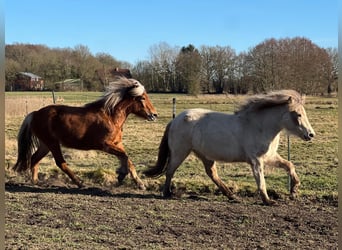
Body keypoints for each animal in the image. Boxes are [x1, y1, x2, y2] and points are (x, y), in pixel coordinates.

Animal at [12, 76, 158, 189]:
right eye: (142, 98)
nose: (154, 115)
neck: (111, 117)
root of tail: (35, 113)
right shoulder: (105, 145)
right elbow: (125, 156)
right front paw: (122, 174)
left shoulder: (117, 143)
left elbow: (127, 159)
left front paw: (138, 183)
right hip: (52, 143)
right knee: (60, 162)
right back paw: (80, 182)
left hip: (45, 145)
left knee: (34, 159)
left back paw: (36, 181)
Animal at [144, 90, 316, 205]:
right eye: (298, 114)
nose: (311, 134)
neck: (260, 126)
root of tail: (175, 120)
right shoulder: (256, 161)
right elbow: (261, 180)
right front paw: (268, 200)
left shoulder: (270, 157)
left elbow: (289, 166)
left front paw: (294, 191)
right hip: (180, 152)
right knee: (170, 170)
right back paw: (167, 193)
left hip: (205, 155)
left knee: (212, 174)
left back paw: (232, 196)